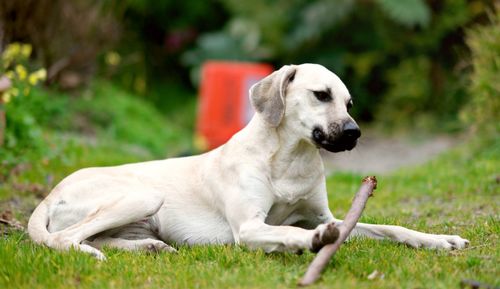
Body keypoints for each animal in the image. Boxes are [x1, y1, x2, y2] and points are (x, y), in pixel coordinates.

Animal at [28, 63, 468, 258]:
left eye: (349, 103)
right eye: (321, 95)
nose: (353, 133)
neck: (290, 160)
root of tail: (50, 194)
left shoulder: (326, 215)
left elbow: (391, 227)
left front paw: (437, 239)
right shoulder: (250, 227)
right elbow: (289, 231)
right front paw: (310, 241)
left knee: (95, 237)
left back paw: (147, 246)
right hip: (142, 195)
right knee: (69, 239)